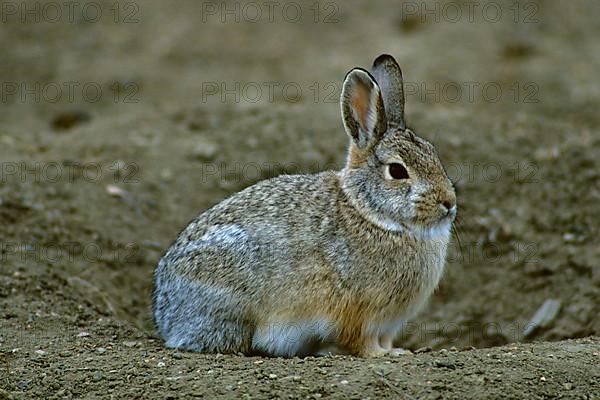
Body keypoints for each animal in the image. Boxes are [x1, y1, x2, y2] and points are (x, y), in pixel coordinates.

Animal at [152, 54, 458, 358]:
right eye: (397, 171)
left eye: (434, 153)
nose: (449, 203)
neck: (371, 215)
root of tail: (166, 315)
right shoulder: (359, 314)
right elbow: (362, 343)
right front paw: (386, 355)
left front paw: (395, 350)